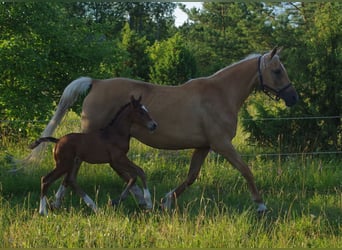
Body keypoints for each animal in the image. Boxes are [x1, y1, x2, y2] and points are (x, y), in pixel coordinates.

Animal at [29, 95, 158, 215]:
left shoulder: (114, 162)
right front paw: (148, 203)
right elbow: (140, 172)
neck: (117, 133)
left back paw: (95, 208)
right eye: (141, 112)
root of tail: (58, 140)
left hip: (73, 162)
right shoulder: (118, 159)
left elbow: (133, 177)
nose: (154, 125)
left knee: (71, 180)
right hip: (63, 164)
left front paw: (114, 201)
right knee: (46, 179)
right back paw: (43, 211)